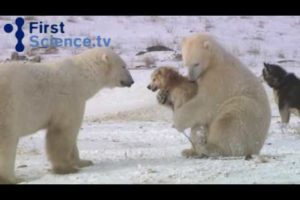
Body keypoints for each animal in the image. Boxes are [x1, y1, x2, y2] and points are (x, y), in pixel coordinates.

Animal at [0, 47, 134, 184]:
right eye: (123, 66)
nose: (131, 81)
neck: (82, 77)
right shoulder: (69, 100)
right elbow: (63, 132)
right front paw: (67, 168)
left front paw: (84, 162)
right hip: (9, 107)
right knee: (7, 142)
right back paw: (13, 178)